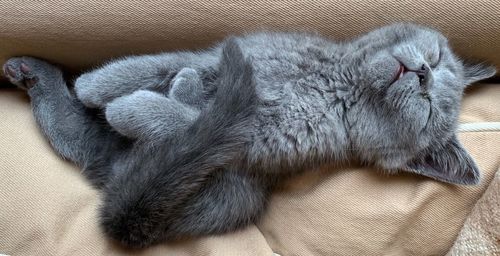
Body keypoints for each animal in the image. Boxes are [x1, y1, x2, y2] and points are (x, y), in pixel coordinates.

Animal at [2, 23, 496, 248]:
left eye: (429, 104)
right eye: (436, 58)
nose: (422, 72)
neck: (334, 83)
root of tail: (109, 170)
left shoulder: (266, 138)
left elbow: (186, 122)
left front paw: (134, 107)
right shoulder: (224, 55)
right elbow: (153, 64)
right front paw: (97, 86)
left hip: (233, 197)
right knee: (75, 128)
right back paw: (37, 73)